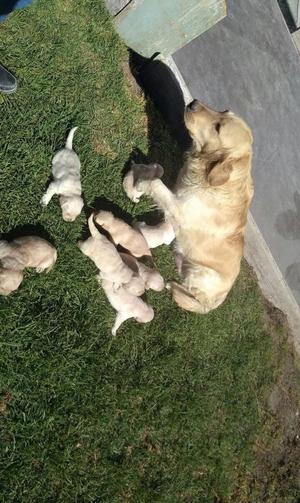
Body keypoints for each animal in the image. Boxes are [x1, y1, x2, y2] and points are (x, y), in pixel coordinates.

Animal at [135, 101, 254, 316]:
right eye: (223, 110)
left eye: (218, 128)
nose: (193, 103)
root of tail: (215, 303)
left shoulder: (181, 209)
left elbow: (156, 184)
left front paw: (141, 183)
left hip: (202, 274)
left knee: (192, 296)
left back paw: (173, 286)